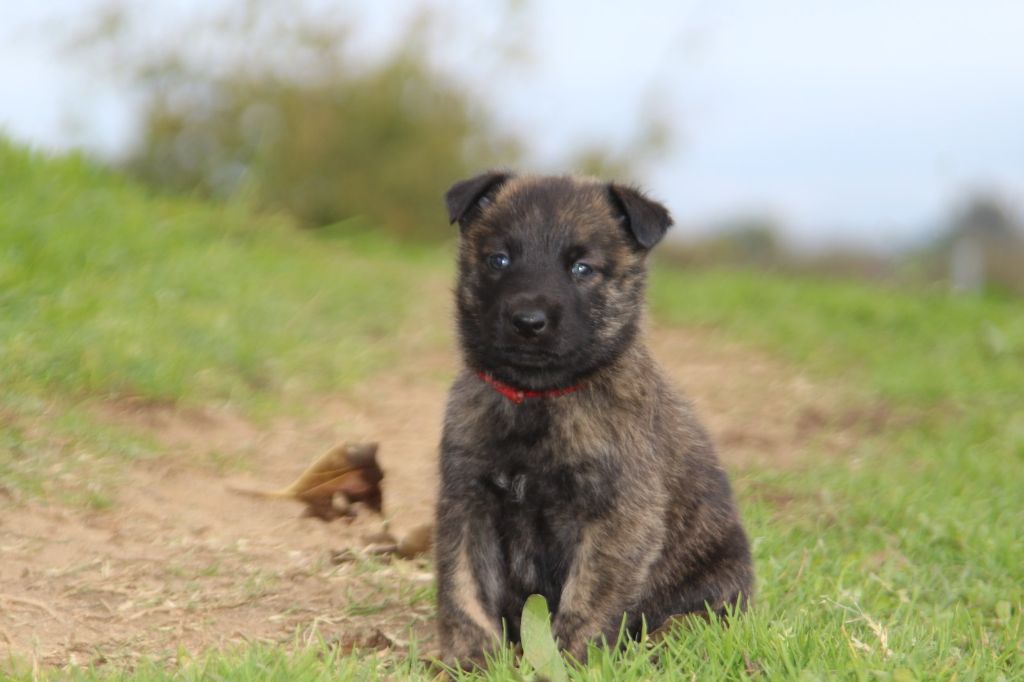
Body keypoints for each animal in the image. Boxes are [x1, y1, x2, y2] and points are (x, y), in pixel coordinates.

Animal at [432, 171, 753, 663]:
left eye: (582, 268)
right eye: (498, 260)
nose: (528, 321)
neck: (538, 400)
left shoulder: (617, 514)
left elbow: (586, 598)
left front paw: (570, 661)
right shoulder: (467, 504)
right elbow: (462, 589)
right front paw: (471, 660)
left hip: (718, 578)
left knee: (698, 619)